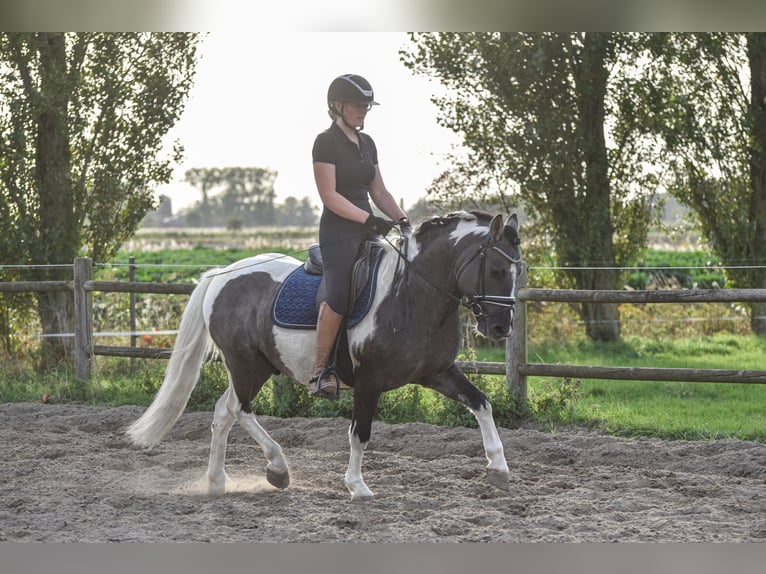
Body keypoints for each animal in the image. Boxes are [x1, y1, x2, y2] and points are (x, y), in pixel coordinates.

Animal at [127, 210, 523, 501]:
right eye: (496, 270)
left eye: (519, 271)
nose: (501, 328)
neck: (410, 294)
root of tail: (221, 274)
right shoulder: (369, 381)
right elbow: (359, 433)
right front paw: (357, 487)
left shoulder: (437, 372)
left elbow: (482, 403)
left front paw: (499, 470)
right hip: (245, 363)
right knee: (240, 409)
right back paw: (278, 469)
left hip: (258, 367)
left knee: (225, 411)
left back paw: (218, 481)